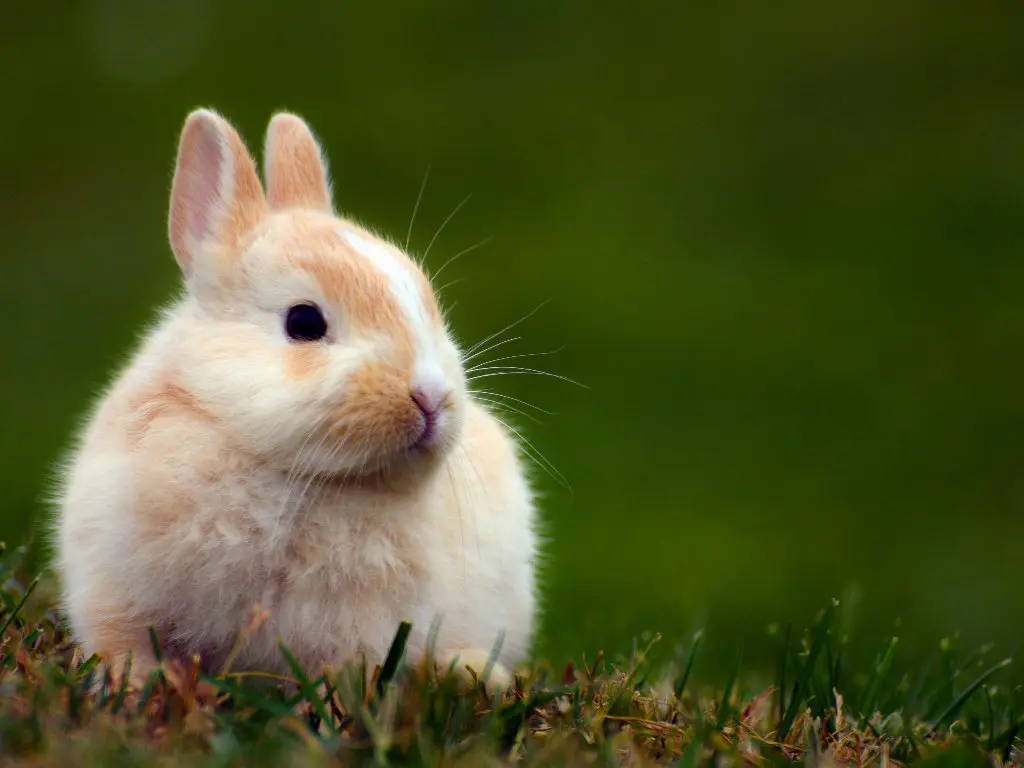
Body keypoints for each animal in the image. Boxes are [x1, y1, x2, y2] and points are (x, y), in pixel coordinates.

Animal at [51, 108, 540, 690]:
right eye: (304, 322)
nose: (430, 397)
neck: (295, 475)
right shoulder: (116, 586)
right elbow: (125, 640)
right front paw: (140, 681)